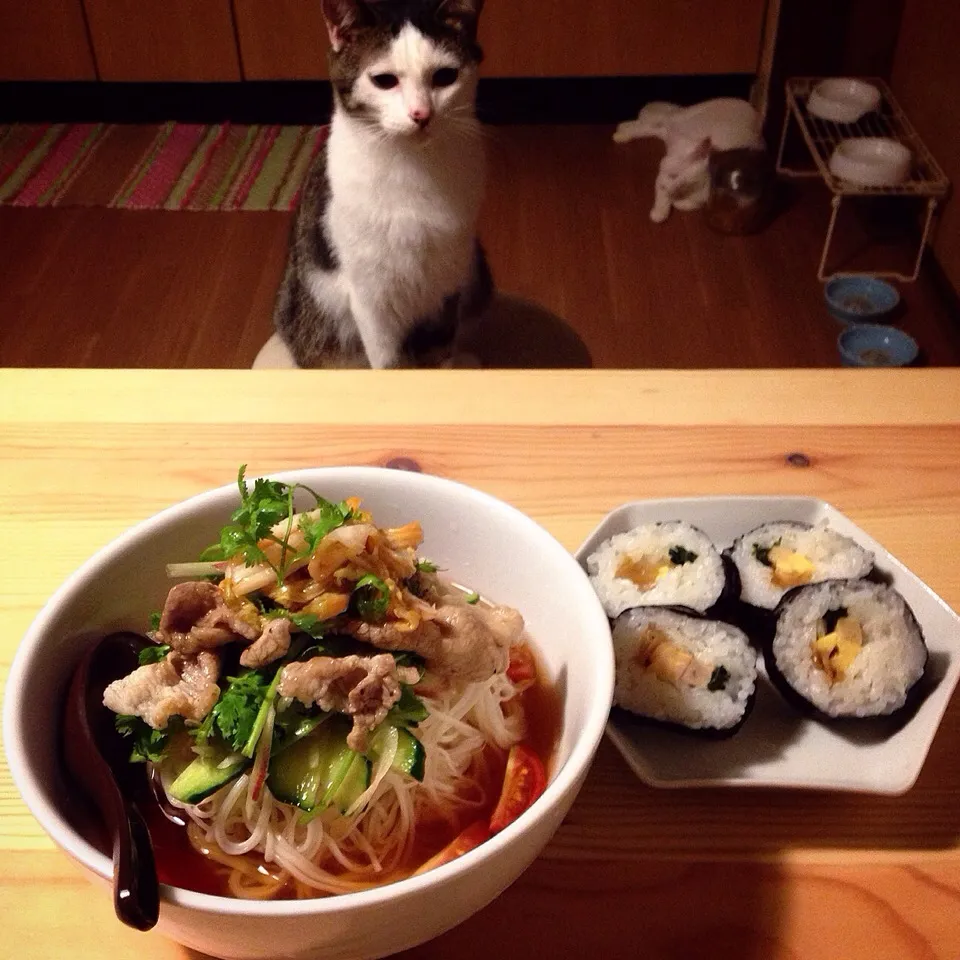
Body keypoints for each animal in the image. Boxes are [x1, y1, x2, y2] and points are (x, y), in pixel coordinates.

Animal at [274, 0, 492, 368]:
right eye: (384, 80)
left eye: (445, 76)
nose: (421, 114)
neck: (414, 167)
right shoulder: (371, 297)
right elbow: (390, 361)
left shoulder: (449, 279)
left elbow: (441, 348)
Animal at [616, 98, 764, 224]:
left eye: (674, 176)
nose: (669, 188)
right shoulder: (661, 176)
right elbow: (661, 195)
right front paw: (659, 212)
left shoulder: (702, 197)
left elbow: (691, 204)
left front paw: (677, 202)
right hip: (677, 122)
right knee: (653, 124)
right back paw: (622, 131)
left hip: (672, 129)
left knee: (654, 128)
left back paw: (622, 131)